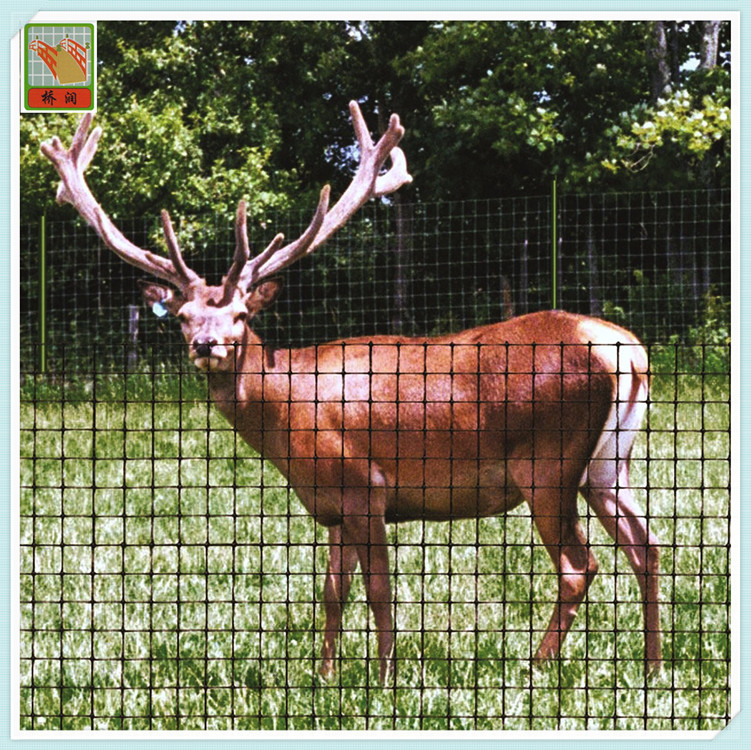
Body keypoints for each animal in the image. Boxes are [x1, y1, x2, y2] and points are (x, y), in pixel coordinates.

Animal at [41, 102, 661, 684]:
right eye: (183, 317)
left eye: (241, 314)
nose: (207, 344)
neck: (289, 416)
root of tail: (622, 349)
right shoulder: (332, 505)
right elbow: (332, 594)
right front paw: (325, 676)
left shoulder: (366, 486)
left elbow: (379, 592)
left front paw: (385, 681)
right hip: (609, 463)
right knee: (647, 545)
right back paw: (655, 667)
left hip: (547, 462)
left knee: (579, 565)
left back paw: (536, 665)